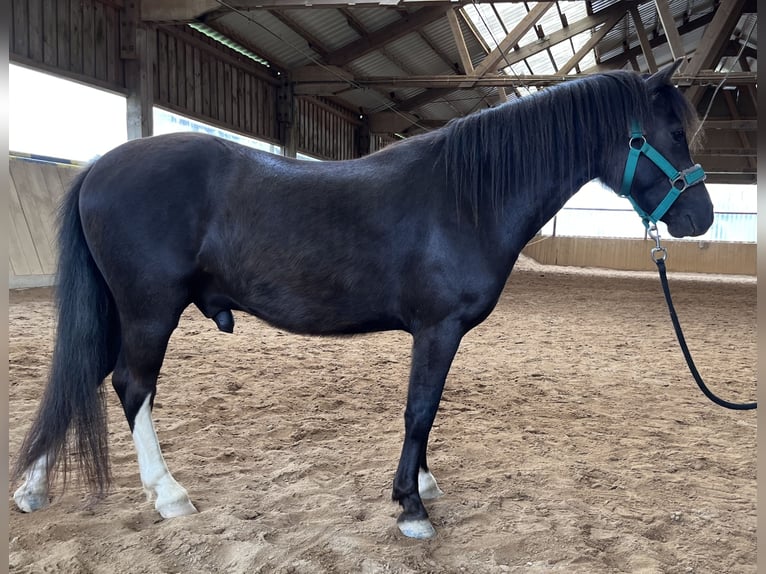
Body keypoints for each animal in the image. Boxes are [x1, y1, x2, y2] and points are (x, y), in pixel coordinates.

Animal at [12, 59, 712, 539]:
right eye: (673, 132)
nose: (699, 219)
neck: (466, 195)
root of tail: (99, 167)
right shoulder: (438, 328)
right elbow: (419, 410)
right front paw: (411, 506)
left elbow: (426, 411)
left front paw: (423, 483)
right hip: (150, 311)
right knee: (131, 385)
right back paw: (168, 494)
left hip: (124, 312)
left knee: (81, 376)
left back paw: (32, 488)